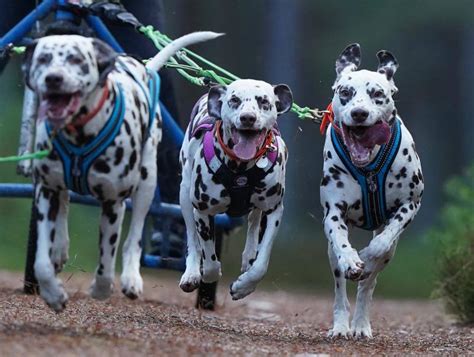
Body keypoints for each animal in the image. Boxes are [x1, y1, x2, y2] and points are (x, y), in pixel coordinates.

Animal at [21, 32, 221, 310]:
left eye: (76, 59)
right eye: (43, 58)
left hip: (146, 185)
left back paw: (131, 279)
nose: (53, 78)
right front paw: (52, 291)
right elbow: (41, 259)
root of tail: (143, 68)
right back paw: (60, 247)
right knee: (64, 204)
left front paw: (102, 288)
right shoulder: (45, 191)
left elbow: (107, 264)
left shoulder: (113, 202)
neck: (79, 133)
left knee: (133, 237)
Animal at [180, 79, 294, 298]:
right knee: (192, 239)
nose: (248, 118)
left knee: (254, 220)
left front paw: (243, 287)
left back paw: (249, 255)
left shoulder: (274, 211)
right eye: (234, 100)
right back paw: (191, 273)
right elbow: (209, 260)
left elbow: (261, 264)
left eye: (264, 101)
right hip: (185, 194)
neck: (241, 168)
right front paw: (208, 274)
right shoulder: (203, 211)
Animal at [320, 43, 424, 338]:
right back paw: (342, 325)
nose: (359, 113)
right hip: (331, 256)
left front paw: (364, 256)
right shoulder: (333, 213)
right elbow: (342, 244)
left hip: (390, 254)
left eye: (378, 94)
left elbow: (380, 244)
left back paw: (360, 324)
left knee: (368, 285)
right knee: (340, 289)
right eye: (345, 92)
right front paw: (352, 259)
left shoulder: (410, 205)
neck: (368, 170)